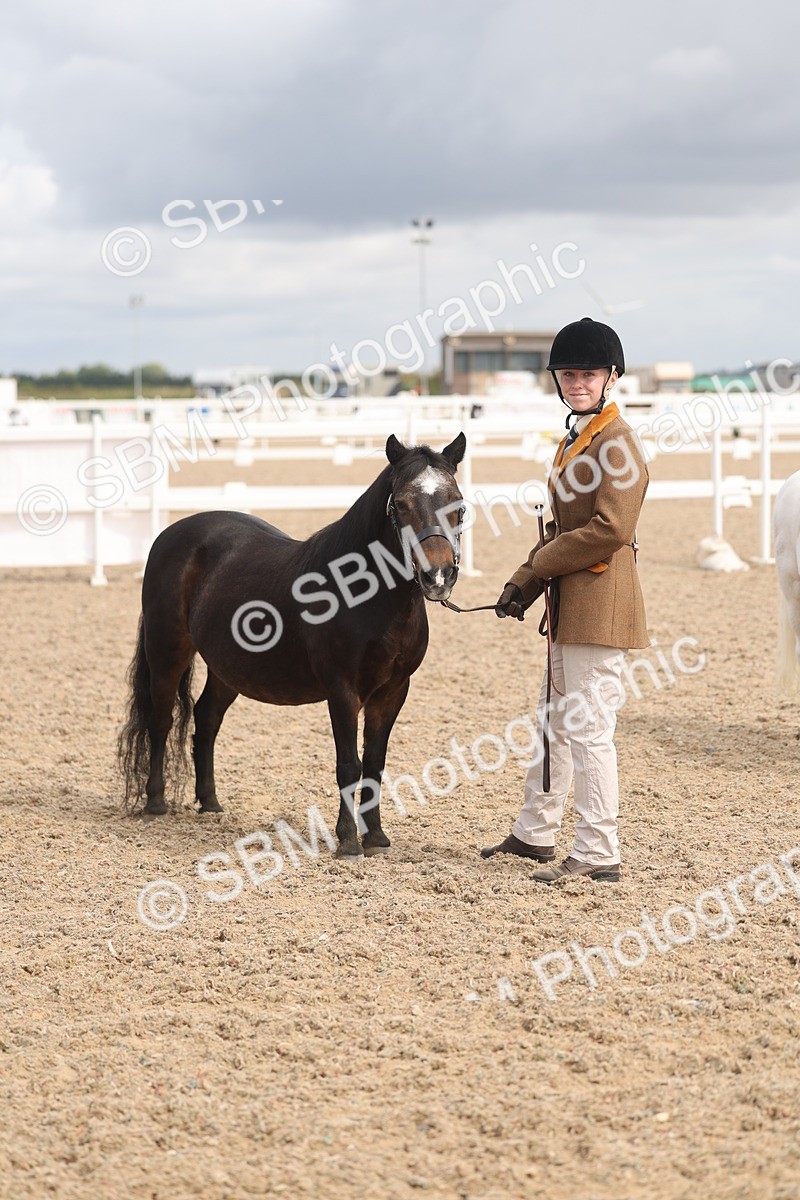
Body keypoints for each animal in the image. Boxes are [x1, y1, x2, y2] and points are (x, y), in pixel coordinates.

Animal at [119, 432, 466, 858]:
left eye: (458, 505)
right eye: (401, 504)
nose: (438, 575)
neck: (366, 594)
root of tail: (171, 535)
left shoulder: (393, 692)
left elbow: (375, 762)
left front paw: (376, 837)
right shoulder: (342, 691)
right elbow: (349, 764)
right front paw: (348, 840)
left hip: (227, 668)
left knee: (207, 718)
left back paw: (210, 803)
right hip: (167, 651)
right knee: (161, 720)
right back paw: (155, 802)